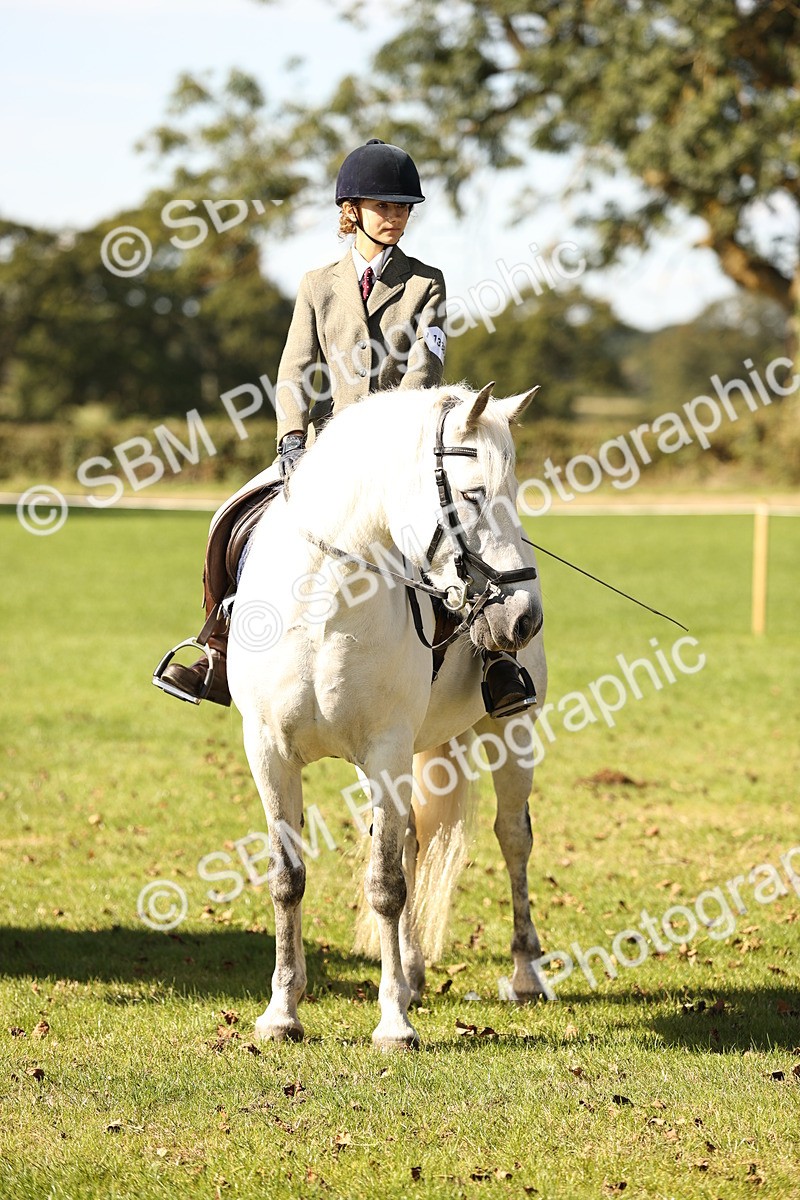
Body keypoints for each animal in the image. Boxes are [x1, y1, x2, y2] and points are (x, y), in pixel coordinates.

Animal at [227, 381, 548, 1050]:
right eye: (474, 494)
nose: (525, 618)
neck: (323, 599)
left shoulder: (386, 752)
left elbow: (386, 885)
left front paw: (394, 1023)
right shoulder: (268, 751)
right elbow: (287, 878)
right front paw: (281, 1013)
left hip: (511, 734)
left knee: (512, 838)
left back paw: (525, 974)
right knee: (412, 842)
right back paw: (415, 973)